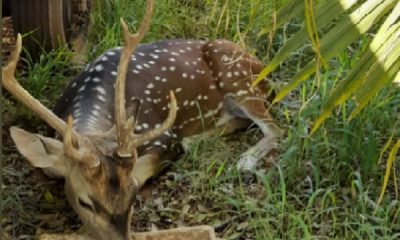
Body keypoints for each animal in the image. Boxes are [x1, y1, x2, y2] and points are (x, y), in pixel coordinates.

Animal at [1, 0, 282, 239]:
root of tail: (263, 68)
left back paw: (244, 161)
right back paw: (198, 141)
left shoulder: (163, 134)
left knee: (275, 129)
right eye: (84, 201)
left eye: (134, 195)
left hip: (238, 78)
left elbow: (145, 165)